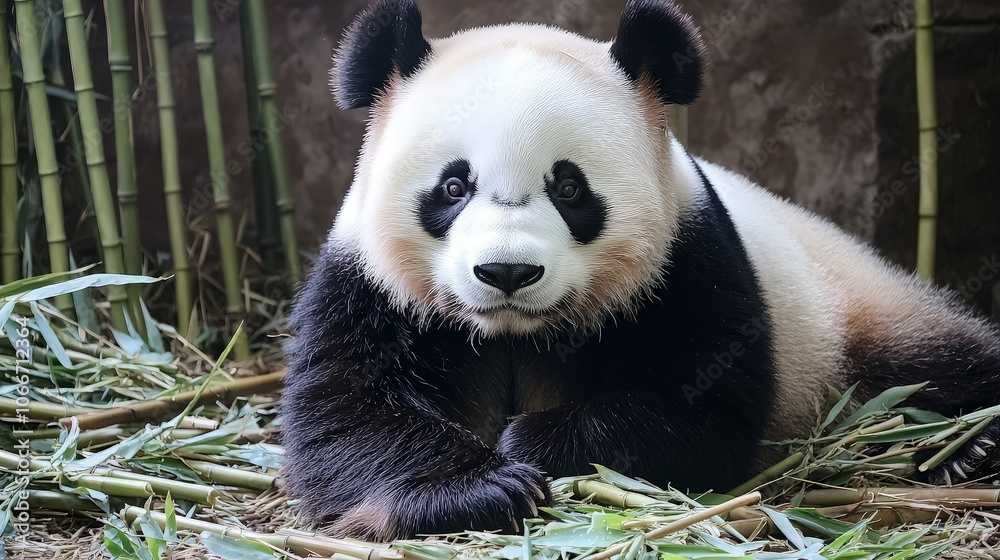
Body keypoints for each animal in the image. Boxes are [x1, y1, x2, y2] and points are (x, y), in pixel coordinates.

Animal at [282, 0, 1000, 542]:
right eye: (454, 186)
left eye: (570, 189)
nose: (507, 271)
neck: (515, 332)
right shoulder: (368, 282)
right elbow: (347, 416)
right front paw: (486, 487)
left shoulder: (688, 260)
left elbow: (698, 410)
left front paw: (531, 442)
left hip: (843, 306)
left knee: (934, 360)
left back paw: (970, 448)